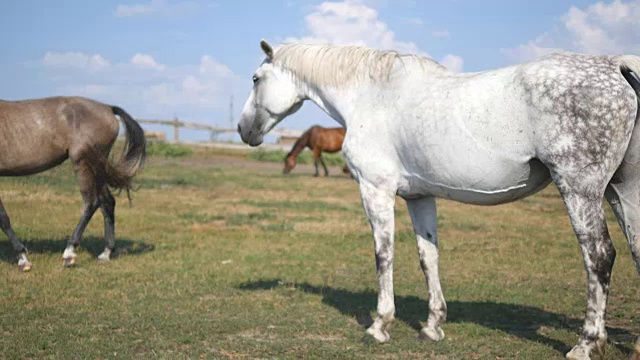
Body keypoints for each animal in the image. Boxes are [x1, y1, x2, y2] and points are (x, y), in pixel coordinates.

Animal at [0, 97, 146, 272]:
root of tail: (107, 108)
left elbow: (2, 218)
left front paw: (23, 259)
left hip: (82, 162)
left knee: (92, 202)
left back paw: (70, 253)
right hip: (97, 169)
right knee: (107, 202)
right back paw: (106, 253)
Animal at [238, 40, 640, 360]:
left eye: (256, 79)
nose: (244, 130)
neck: (372, 95)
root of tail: (616, 66)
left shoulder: (375, 189)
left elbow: (383, 255)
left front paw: (379, 325)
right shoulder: (419, 197)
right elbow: (427, 256)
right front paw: (432, 326)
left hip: (580, 188)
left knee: (599, 256)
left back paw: (586, 344)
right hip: (622, 192)